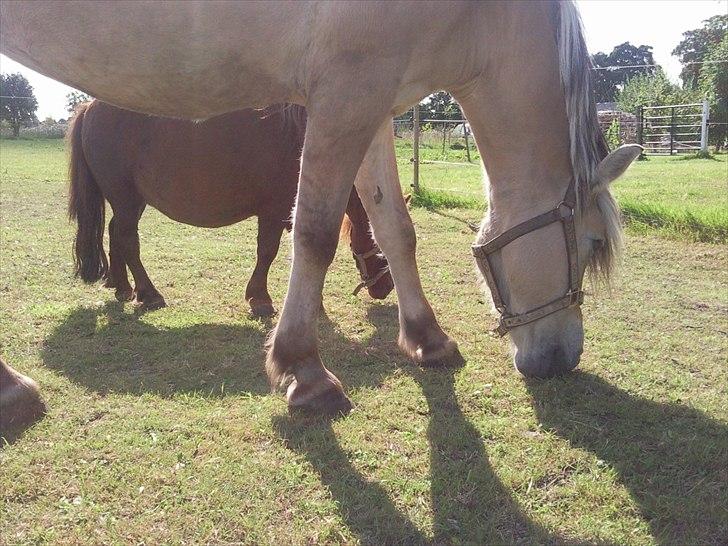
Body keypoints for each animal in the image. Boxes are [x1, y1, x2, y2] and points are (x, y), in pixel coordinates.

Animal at [68, 101, 396, 314]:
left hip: (133, 201)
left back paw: (122, 287)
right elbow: (267, 252)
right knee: (127, 240)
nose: (386, 287)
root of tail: (89, 107)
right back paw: (149, 294)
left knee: (115, 233)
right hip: (124, 198)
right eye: (383, 248)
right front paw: (260, 298)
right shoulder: (273, 213)